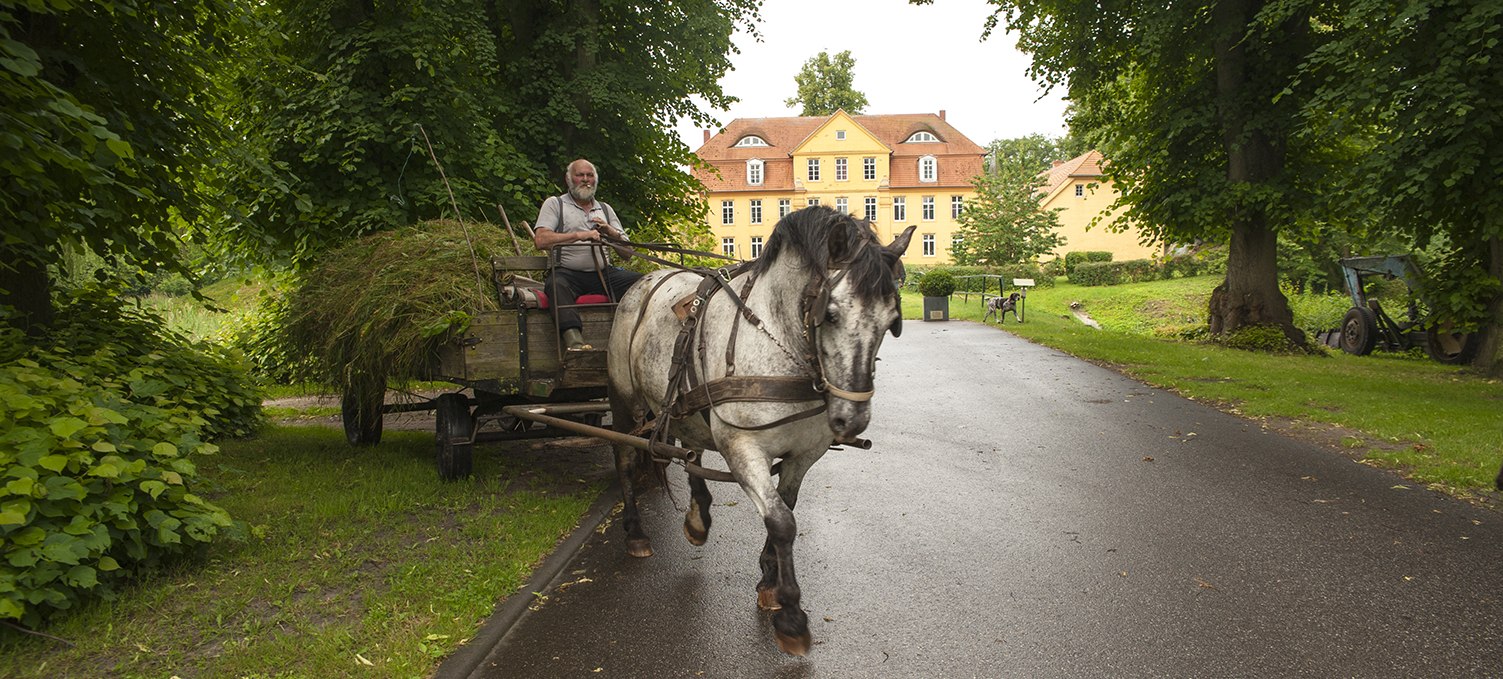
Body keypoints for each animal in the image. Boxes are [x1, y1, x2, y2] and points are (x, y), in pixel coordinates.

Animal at [601, 205, 907, 651]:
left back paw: (698, 518)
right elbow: (781, 521)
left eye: (891, 320)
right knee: (624, 457)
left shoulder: (803, 454)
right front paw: (792, 615)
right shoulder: (742, 448)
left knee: (692, 451)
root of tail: (645, 279)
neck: (778, 343)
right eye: (831, 314)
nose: (851, 421)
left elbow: (786, 509)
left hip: (688, 405)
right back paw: (636, 532)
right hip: (626, 401)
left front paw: (768, 580)